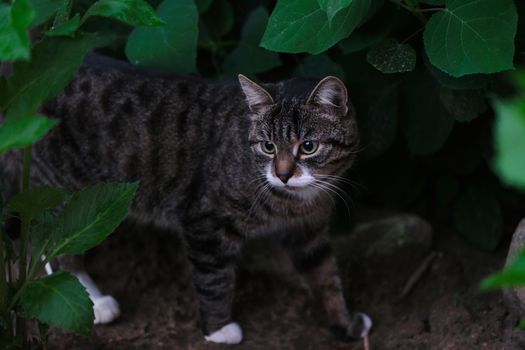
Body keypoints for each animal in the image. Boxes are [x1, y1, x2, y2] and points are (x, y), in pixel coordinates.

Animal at [0, 54, 370, 344]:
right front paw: (219, 330)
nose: (282, 174)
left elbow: (326, 278)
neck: (295, 200)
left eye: (308, 146)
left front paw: (345, 323)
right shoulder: (205, 219)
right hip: (66, 187)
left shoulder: (309, 231)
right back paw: (96, 298)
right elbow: (214, 279)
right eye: (268, 146)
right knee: (57, 241)